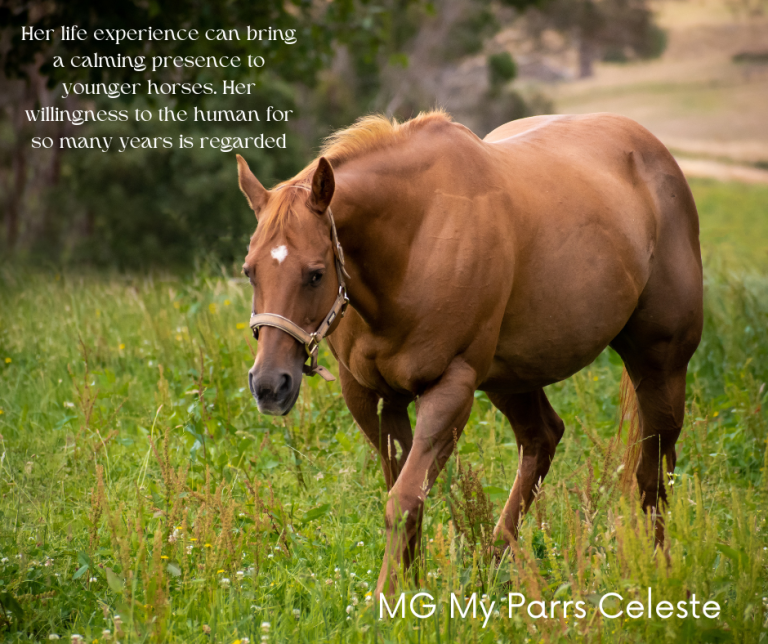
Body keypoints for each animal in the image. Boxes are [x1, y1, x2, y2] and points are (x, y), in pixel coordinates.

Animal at [237, 110, 703, 597]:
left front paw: (387, 599)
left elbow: (403, 499)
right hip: (512, 379)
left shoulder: (451, 390)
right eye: (250, 271)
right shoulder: (372, 397)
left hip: (660, 365)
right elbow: (406, 491)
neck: (417, 237)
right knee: (543, 440)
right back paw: (492, 564)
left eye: (315, 273)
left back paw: (656, 567)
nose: (269, 385)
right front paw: (412, 585)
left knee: (654, 469)